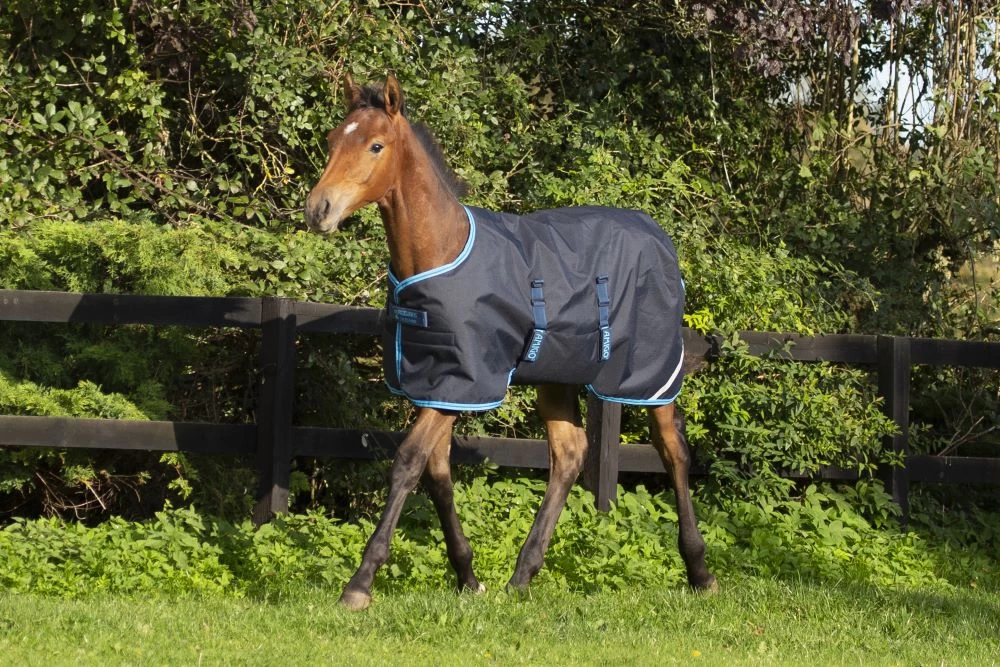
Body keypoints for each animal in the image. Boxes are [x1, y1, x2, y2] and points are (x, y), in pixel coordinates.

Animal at [305, 74, 717, 610]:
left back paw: (700, 571)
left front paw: (359, 584)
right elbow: (437, 471)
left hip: (650, 374)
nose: (319, 209)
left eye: (376, 145)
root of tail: (659, 237)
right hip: (557, 377)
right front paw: (468, 576)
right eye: (333, 140)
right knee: (569, 454)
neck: (441, 251)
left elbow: (408, 463)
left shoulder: (465, 382)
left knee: (672, 451)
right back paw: (523, 574)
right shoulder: (438, 383)